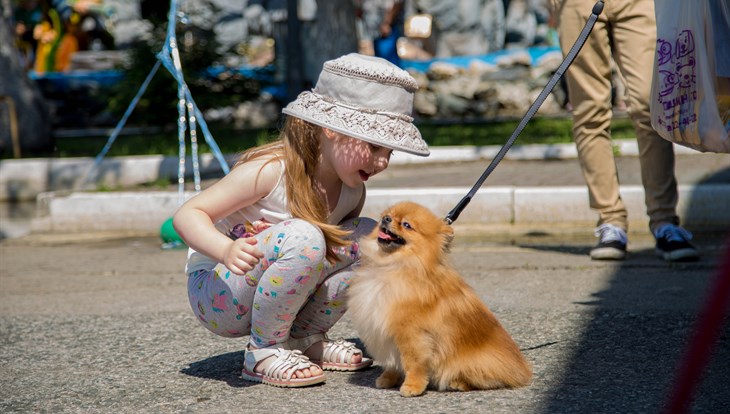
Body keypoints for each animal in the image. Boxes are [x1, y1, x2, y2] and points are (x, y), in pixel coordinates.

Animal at [344, 202, 532, 396]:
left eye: (406, 225)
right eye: (387, 215)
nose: (386, 219)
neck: (393, 266)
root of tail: (521, 368)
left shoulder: (412, 335)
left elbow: (413, 363)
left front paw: (412, 386)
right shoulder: (387, 334)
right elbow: (392, 362)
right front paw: (388, 378)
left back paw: (458, 383)